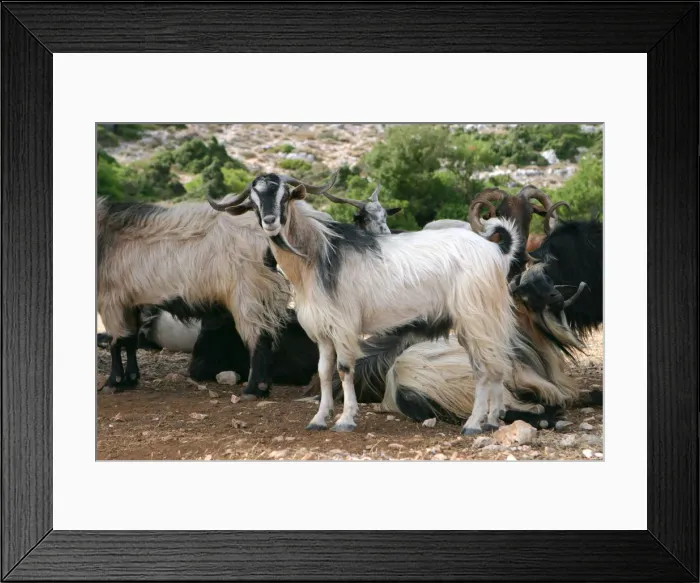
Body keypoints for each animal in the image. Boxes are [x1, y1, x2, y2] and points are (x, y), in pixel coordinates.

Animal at [208, 172, 522, 435]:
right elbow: (323, 371)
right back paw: (492, 420)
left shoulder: (344, 325)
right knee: (497, 363)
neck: (317, 257)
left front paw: (346, 419)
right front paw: (319, 419)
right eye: (254, 202)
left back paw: (473, 424)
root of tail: (495, 250)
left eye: (285, 195)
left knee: (483, 368)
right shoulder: (322, 330)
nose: (271, 221)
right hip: (484, 320)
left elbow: (345, 369)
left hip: (475, 316)